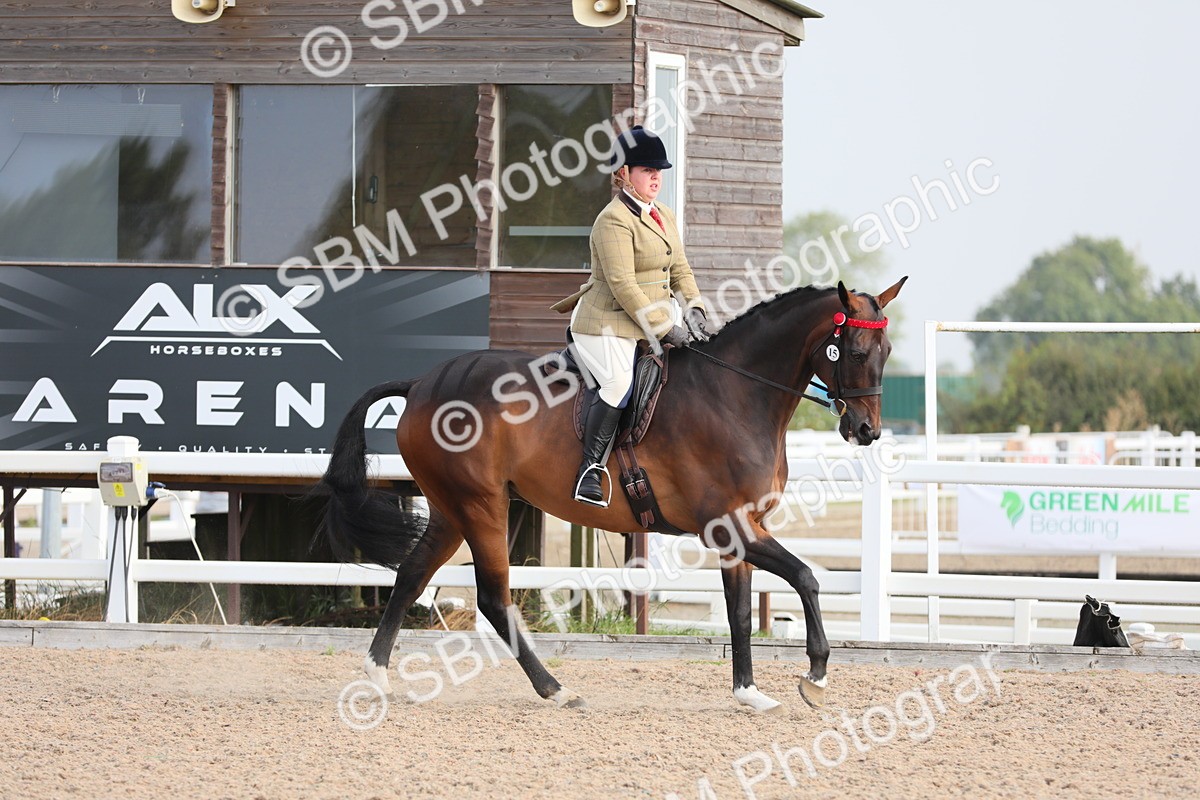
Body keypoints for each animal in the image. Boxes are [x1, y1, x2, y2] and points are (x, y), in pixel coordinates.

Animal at [317, 277, 907, 712]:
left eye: (887, 349)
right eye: (855, 350)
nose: (866, 431)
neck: (736, 394)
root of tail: (421, 383)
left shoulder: (739, 533)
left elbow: (739, 611)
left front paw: (748, 693)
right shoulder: (730, 526)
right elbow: (806, 578)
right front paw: (816, 676)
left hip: (450, 508)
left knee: (412, 575)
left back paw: (377, 676)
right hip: (481, 506)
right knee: (492, 597)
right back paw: (556, 690)